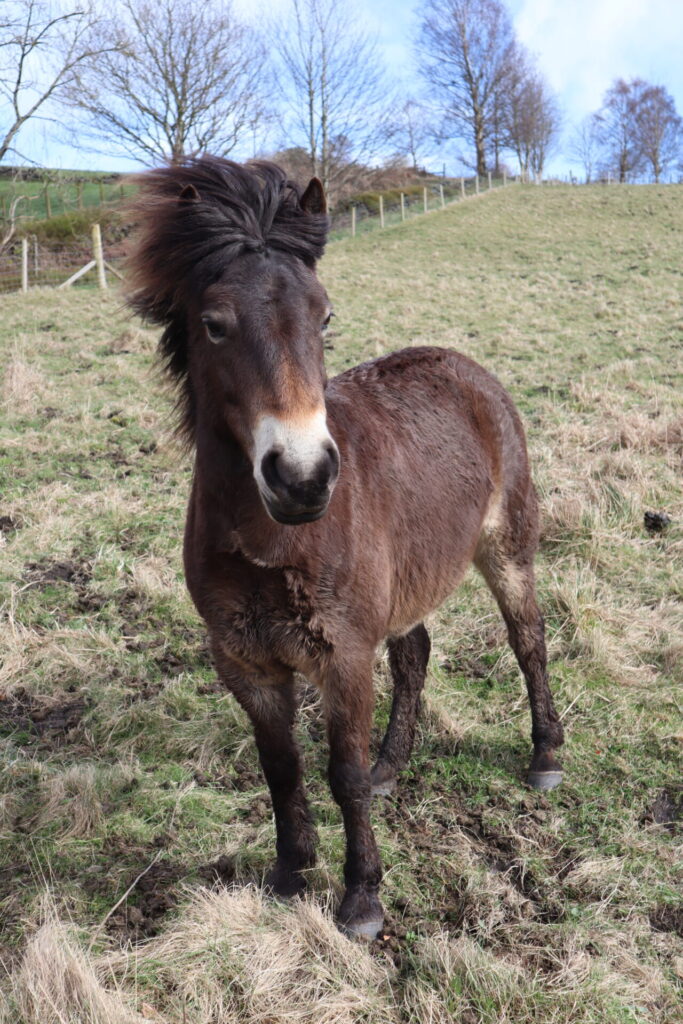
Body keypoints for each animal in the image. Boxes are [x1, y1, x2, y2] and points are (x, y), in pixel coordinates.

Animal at [126, 156, 564, 940]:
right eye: (213, 324)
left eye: (324, 318)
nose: (302, 477)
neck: (271, 541)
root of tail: (466, 367)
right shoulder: (246, 662)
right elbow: (282, 768)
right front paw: (291, 872)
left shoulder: (344, 654)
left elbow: (342, 773)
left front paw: (361, 897)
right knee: (415, 651)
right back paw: (396, 765)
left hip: (507, 549)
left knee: (528, 639)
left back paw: (544, 754)